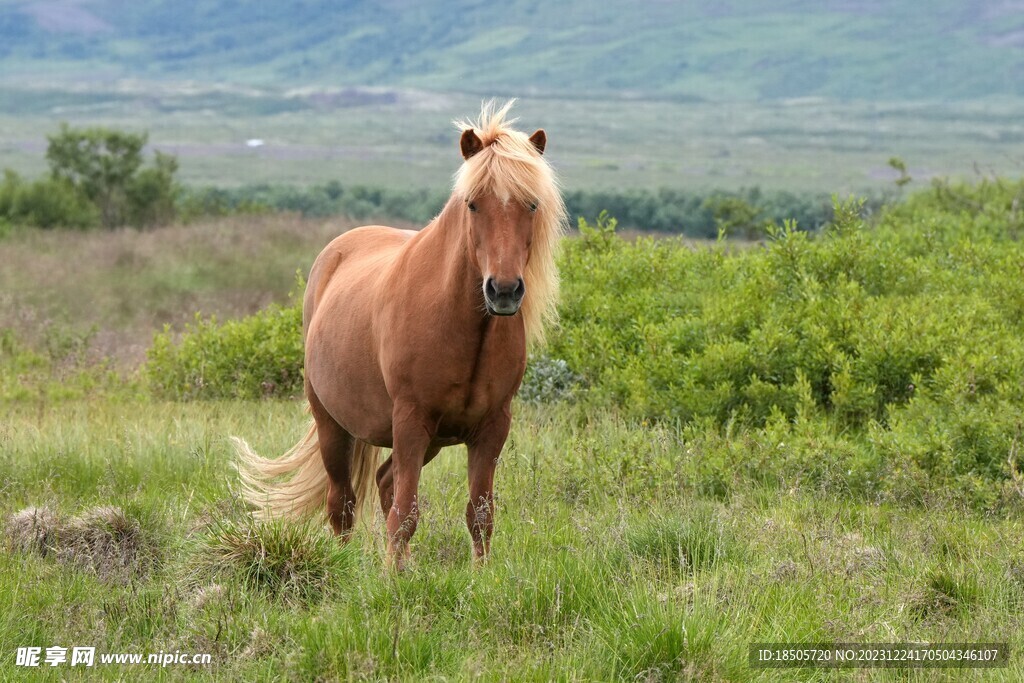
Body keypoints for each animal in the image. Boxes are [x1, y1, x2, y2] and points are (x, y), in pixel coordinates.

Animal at [234, 101, 569, 569]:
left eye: (532, 204)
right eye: (472, 204)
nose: (503, 291)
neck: (462, 327)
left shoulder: (491, 428)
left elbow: (479, 515)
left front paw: (475, 575)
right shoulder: (410, 421)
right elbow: (405, 514)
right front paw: (392, 579)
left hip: (425, 441)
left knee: (384, 480)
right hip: (332, 425)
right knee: (343, 504)